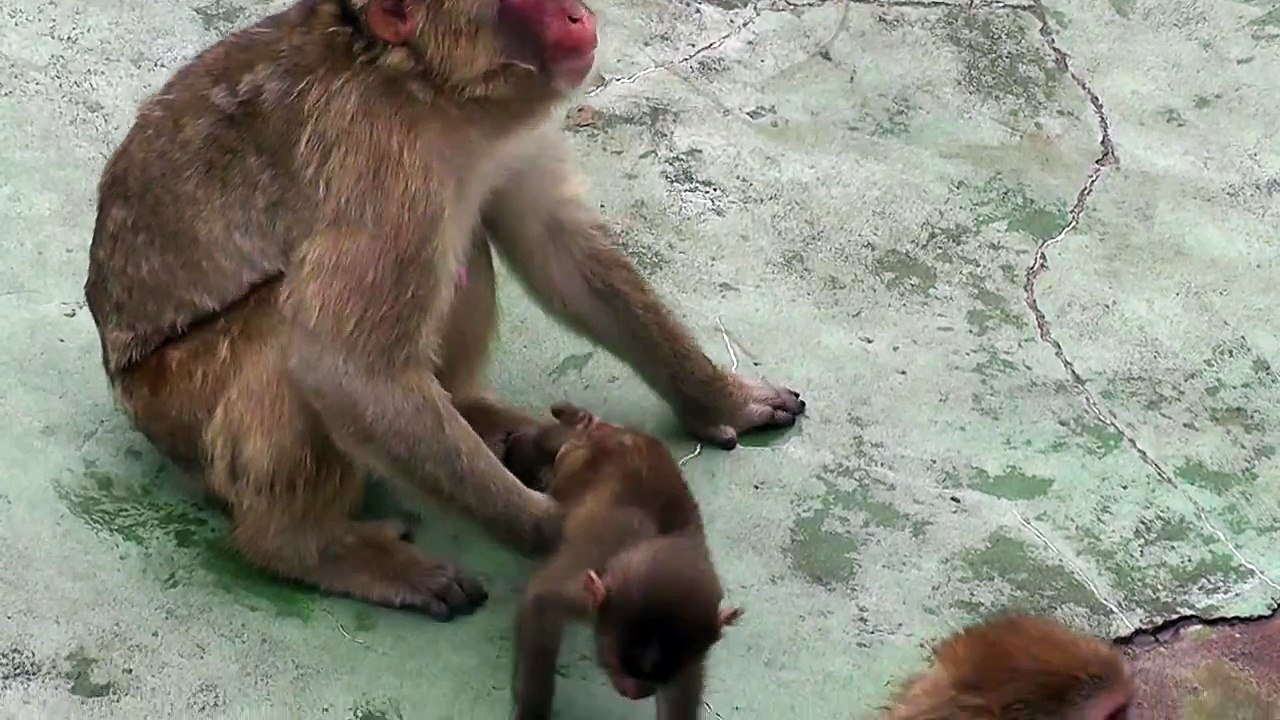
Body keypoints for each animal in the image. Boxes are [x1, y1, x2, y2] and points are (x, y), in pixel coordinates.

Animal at [84, 0, 805, 621]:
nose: (579, 16)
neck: (431, 88)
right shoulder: (380, 164)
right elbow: (344, 367)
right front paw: (563, 531)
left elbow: (559, 250)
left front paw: (717, 396)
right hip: (175, 405)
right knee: (289, 332)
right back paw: (302, 545)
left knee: (462, 250)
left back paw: (474, 415)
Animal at [493, 402, 740, 720]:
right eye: (617, 661)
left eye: (658, 678)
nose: (637, 692)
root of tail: (612, 432)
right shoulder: (585, 584)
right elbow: (542, 603)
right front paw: (531, 711)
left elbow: (683, 687)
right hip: (578, 452)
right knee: (547, 445)